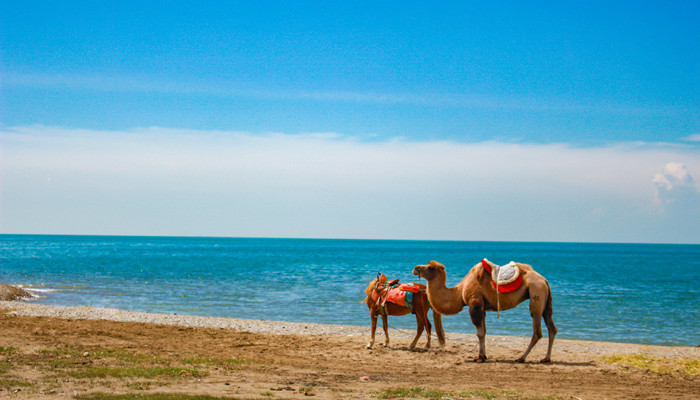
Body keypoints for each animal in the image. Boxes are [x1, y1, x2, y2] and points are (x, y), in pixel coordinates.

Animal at [412, 260, 556, 362]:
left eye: (430, 267)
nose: (416, 268)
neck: (460, 291)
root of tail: (544, 280)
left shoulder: (475, 304)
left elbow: (479, 333)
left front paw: (480, 357)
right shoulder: (483, 308)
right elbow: (485, 332)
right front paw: (484, 356)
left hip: (536, 294)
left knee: (537, 331)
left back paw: (521, 358)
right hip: (545, 301)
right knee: (551, 327)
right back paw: (546, 358)